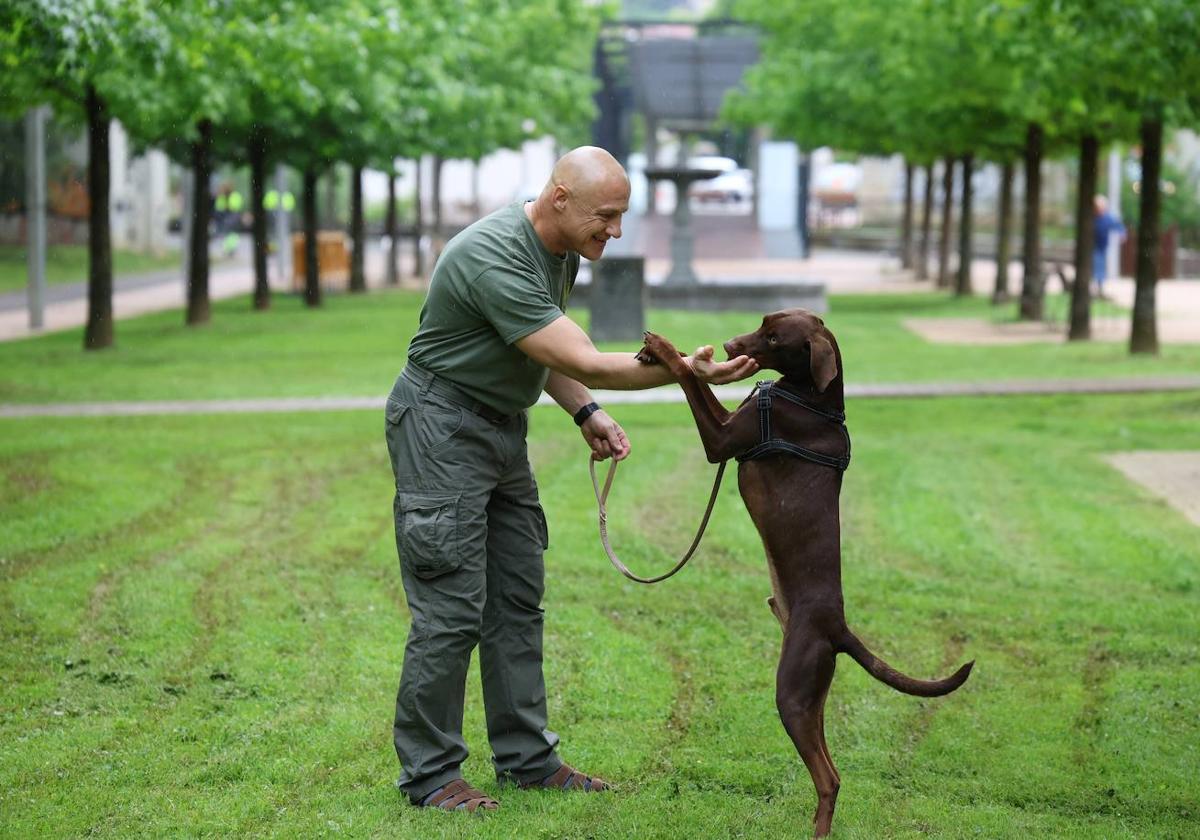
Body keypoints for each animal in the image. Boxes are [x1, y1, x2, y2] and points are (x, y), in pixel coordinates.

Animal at [638, 309, 974, 840]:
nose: (731, 345)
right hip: (811, 696)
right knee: (832, 769)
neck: (813, 398)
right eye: (762, 323)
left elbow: (692, 380)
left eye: (775, 338)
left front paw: (665, 348)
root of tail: (838, 629)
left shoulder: (722, 440)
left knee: (828, 778)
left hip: (793, 690)